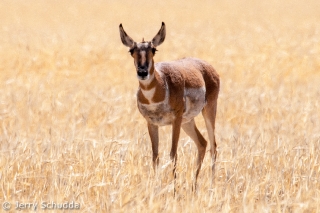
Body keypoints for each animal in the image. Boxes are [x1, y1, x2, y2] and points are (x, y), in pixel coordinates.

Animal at [120, 21, 220, 185]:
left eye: (153, 49)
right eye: (131, 50)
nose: (142, 72)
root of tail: (206, 65)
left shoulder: (176, 120)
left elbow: (173, 154)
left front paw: (174, 187)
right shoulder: (152, 123)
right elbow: (155, 156)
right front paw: (156, 186)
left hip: (208, 111)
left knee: (213, 146)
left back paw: (211, 184)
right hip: (188, 122)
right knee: (202, 143)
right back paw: (194, 185)